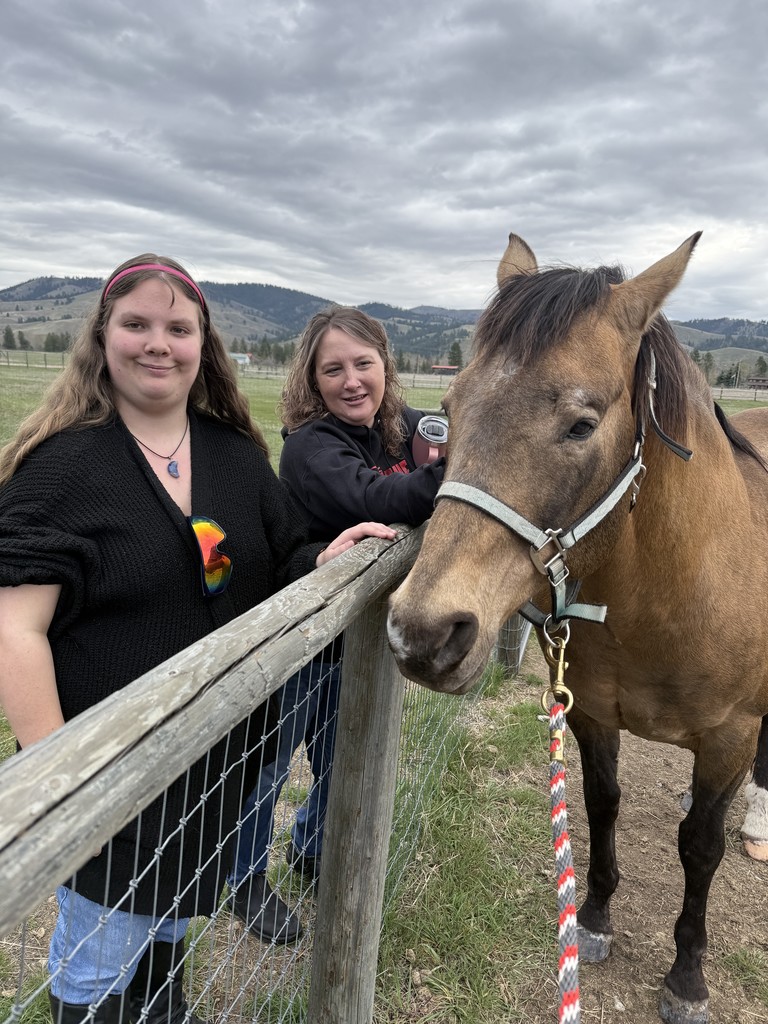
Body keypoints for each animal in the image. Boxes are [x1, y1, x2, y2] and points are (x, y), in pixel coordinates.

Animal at [387, 232, 768, 1024]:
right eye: (450, 409)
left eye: (581, 424)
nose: (424, 634)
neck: (665, 599)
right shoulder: (590, 711)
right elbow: (601, 804)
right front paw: (591, 918)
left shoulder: (731, 736)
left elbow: (701, 847)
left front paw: (687, 976)